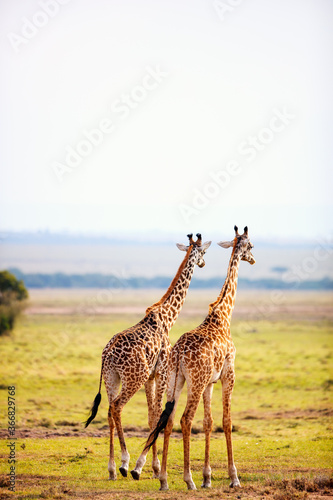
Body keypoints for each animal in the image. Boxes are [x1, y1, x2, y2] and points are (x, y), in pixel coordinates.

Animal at [85, 234, 210, 480]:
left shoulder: (152, 377)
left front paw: (152, 466)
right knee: (116, 407)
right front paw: (145, 466)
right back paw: (124, 463)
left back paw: (111, 468)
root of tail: (107, 355)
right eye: (203, 252)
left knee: (109, 411)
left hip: (112, 378)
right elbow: (157, 414)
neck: (169, 317)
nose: (203, 263)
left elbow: (151, 416)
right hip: (135, 377)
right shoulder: (161, 372)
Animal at [132, 226, 254, 488]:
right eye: (251, 245)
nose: (253, 259)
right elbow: (227, 421)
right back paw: (187, 479)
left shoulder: (210, 382)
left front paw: (208, 477)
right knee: (185, 419)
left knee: (167, 419)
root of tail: (178, 353)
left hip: (174, 380)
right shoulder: (228, 375)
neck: (223, 316)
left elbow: (208, 422)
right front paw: (234, 477)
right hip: (193, 383)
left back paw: (164, 479)